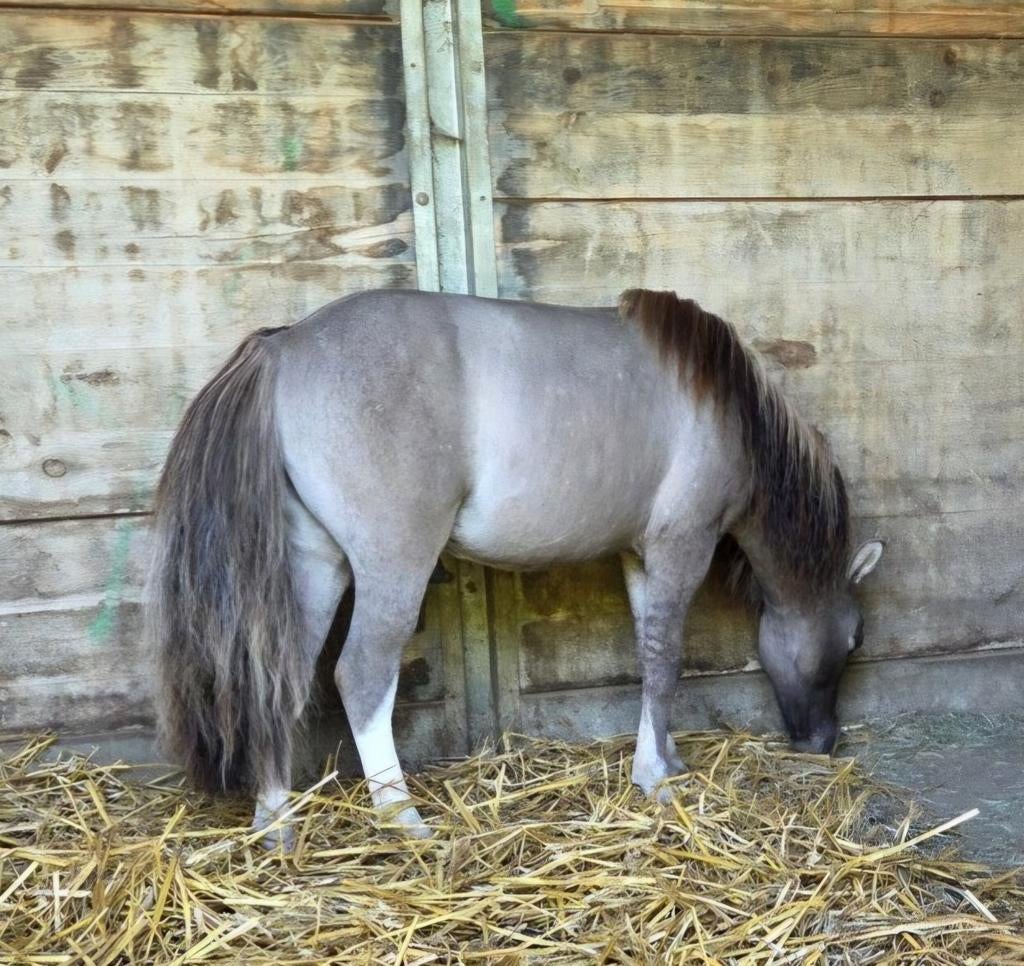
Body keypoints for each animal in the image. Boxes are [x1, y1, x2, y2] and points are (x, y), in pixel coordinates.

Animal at [148, 288, 884, 847]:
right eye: (853, 640)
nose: (824, 741)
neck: (724, 408)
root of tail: (284, 347)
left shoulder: (640, 555)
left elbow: (650, 655)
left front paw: (665, 758)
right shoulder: (683, 545)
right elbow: (668, 658)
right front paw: (654, 777)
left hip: (318, 564)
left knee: (281, 677)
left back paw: (276, 822)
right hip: (393, 565)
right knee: (359, 676)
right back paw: (404, 820)